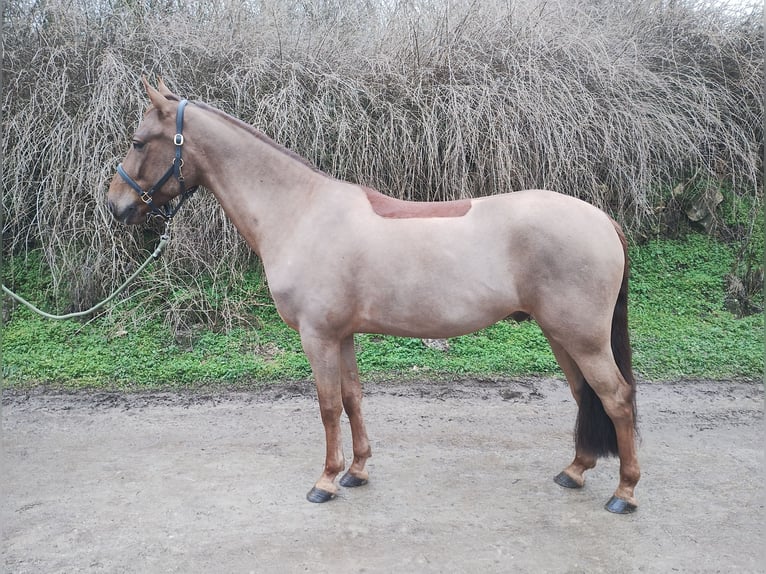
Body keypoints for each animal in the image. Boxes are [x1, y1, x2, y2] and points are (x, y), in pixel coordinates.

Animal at [107, 79, 640, 513]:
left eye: (138, 141)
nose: (116, 205)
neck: (299, 212)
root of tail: (603, 221)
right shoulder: (341, 335)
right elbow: (352, 397)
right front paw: (357, 471)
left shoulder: (317, 336)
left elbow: (327, 405)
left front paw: (325, 481)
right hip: (560, 335)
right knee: (584, 394)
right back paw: (575, 471)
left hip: (582, 337)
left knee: (615, 397)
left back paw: (625, 492)